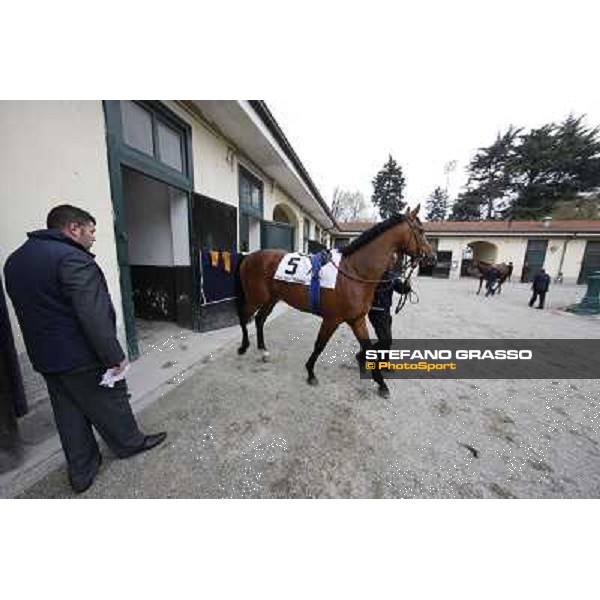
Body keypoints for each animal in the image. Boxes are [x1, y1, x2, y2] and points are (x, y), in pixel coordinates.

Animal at [234, 206, 436, 398]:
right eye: (420, 230)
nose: (432, 257)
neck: (354, 271)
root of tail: (249, 256)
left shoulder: (357, 319)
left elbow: (368, 347)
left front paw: (381, 384)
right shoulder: (332, 319)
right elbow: (320, 344)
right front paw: (310, 373)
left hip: (272, 298)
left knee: (260, 319)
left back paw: (263, 351)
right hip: (256, 297)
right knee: (244, 315)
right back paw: (243, 347)